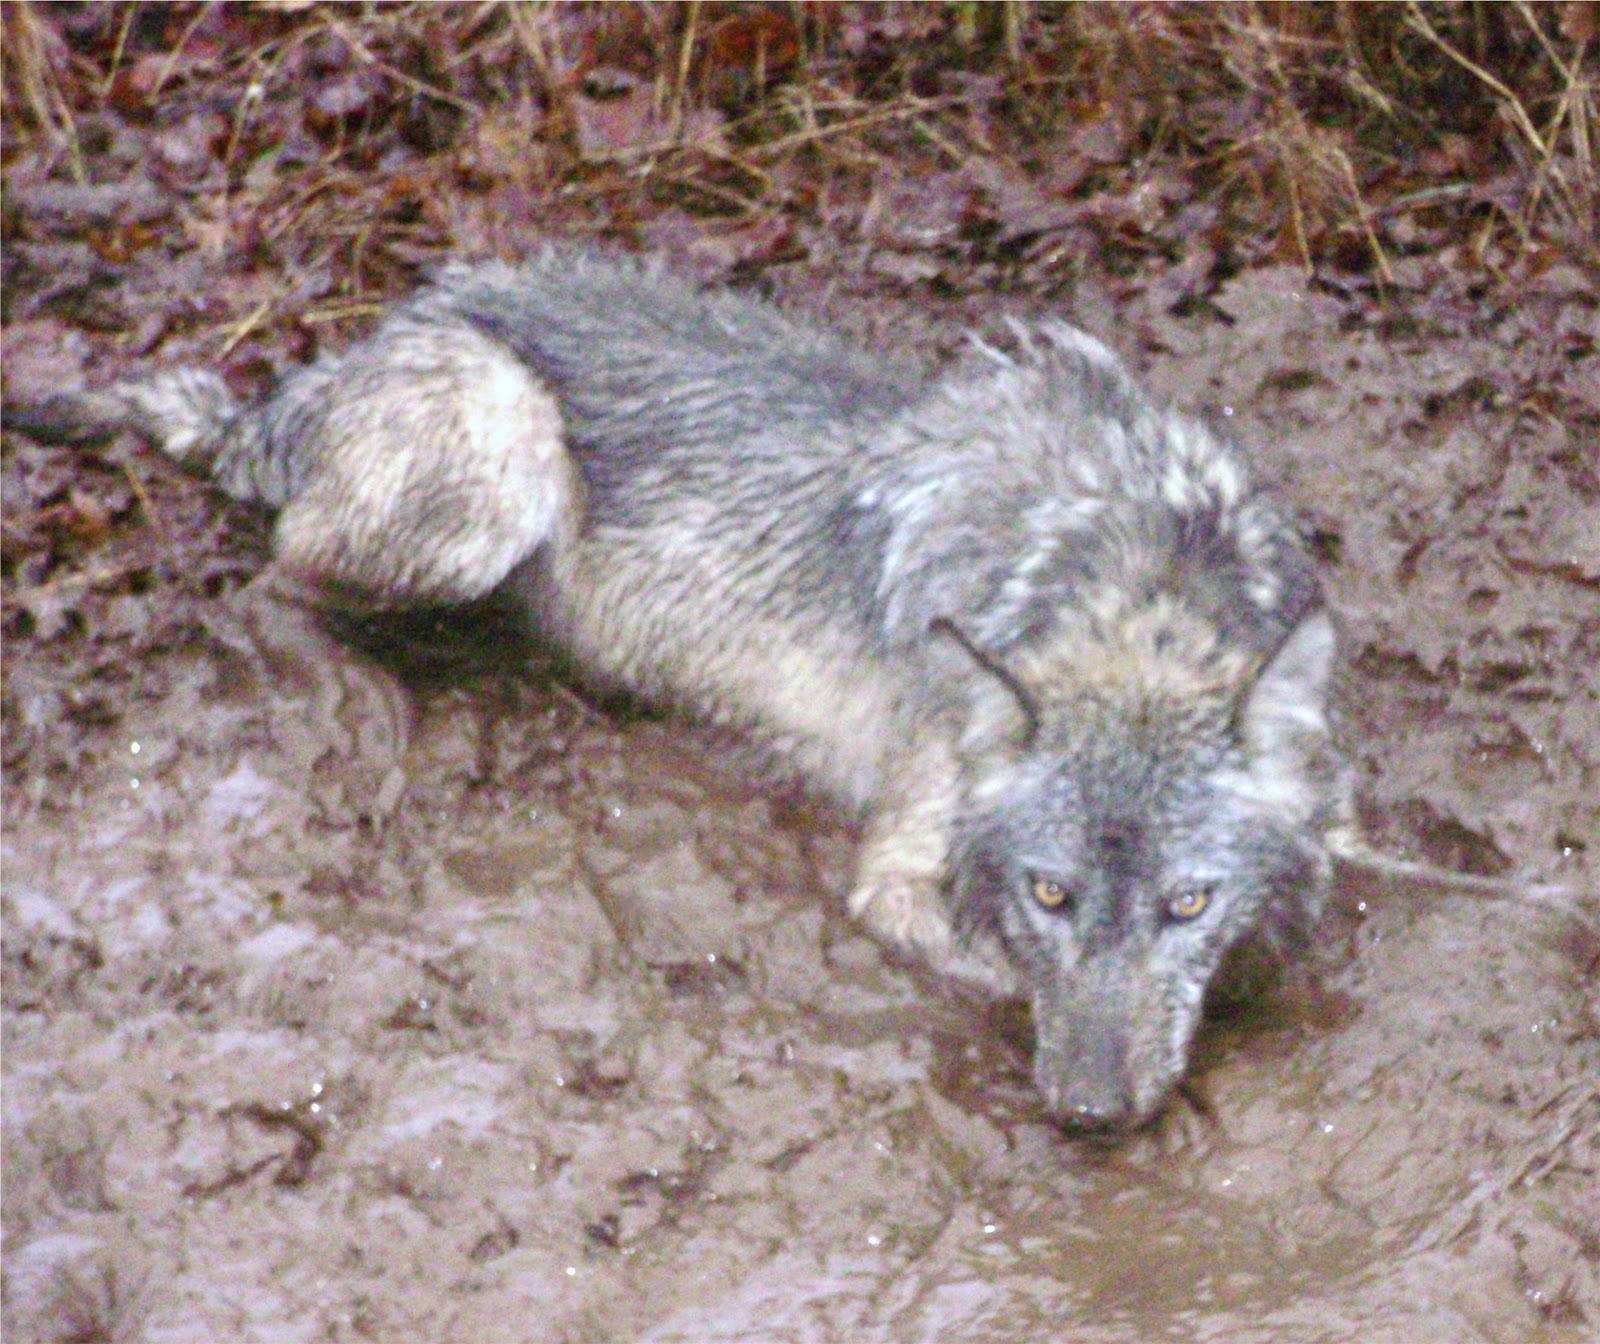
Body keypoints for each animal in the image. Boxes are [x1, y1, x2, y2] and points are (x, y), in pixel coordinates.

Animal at [18, 250, 1346, 1130]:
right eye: (1050, 893)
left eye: (1185, 902)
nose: (1088, 1115)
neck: (1126, 578)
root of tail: (368, 341)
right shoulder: (891, 880)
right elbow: (993, 961)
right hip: (495, 457)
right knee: (265, 581)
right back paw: (365, 698)